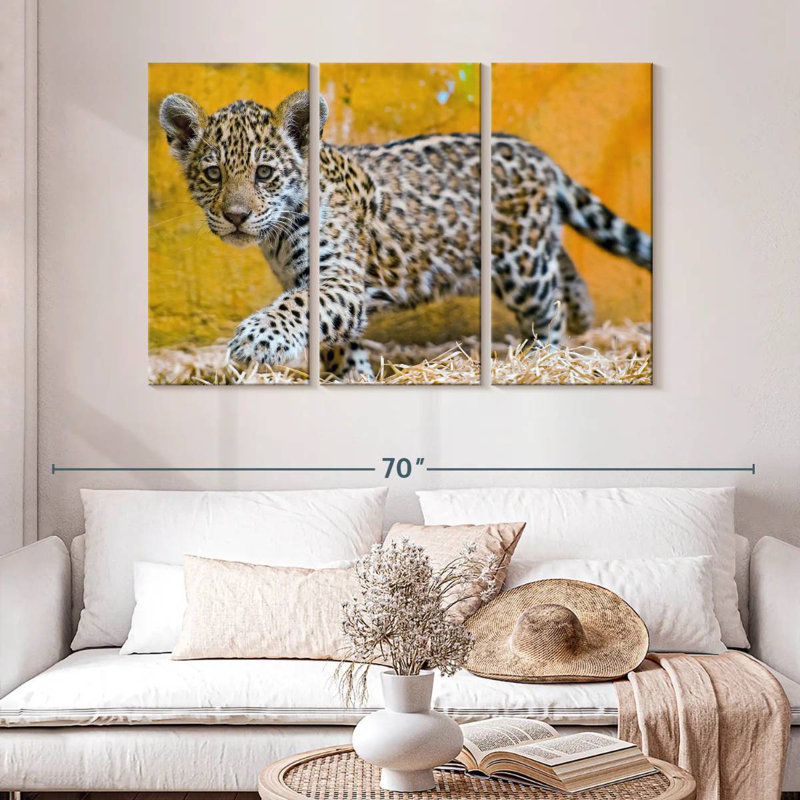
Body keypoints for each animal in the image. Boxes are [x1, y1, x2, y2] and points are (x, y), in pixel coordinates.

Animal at [160, 90, 652, 381]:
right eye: (213, 174)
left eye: (264, 173)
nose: (236, 216)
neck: (276, 236)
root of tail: (537, 154)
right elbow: (335, 339)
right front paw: (353, 379)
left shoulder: (338, 277)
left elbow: (299, 307)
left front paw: (256, 339)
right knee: (563, 261)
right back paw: (584, 313)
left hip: (522, 266)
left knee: (548, 310)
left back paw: (544, 360)